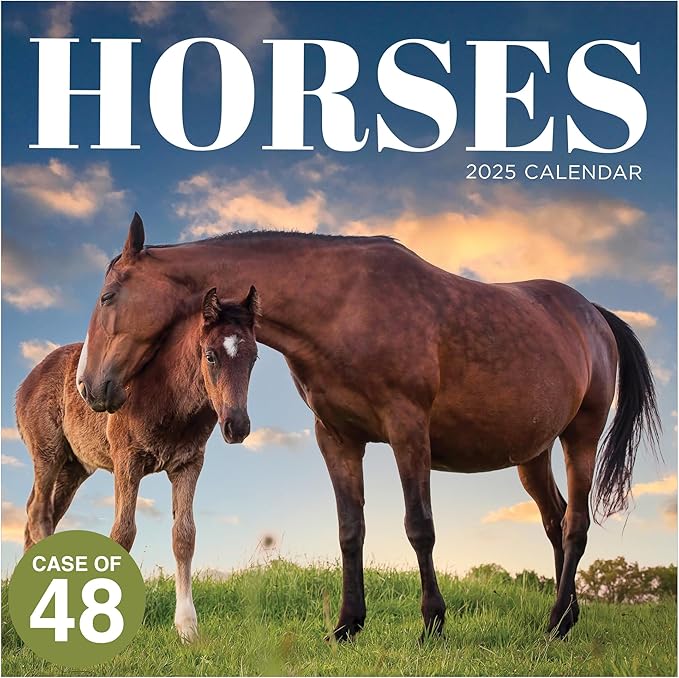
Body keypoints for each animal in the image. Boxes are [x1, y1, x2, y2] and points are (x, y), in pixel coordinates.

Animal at [16, 286, 259, 641]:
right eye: (210, 355)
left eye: (254, 358)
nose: (237, 426)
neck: (168, 392)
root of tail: (25, 383)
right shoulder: (126, 460)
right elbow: (123, 533)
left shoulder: (188, 463)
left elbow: (184, 536)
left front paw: (187, 629)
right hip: (48, 453)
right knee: (38, 515)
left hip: (74, 468)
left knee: (41, 515)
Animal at [77, 213, 659, 640]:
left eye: (107, 297)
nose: (88, 385)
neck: (344, 304)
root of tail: (592, 315)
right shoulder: (337, 437)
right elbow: (349, 530)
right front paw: (347, 625)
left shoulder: (408, 430)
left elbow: (419, 527)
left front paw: (432, 624)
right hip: (532, 453)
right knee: (555, 521)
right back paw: (568, 615)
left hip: (580, 437)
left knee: (576, 524)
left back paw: (555, 624)